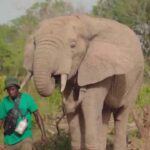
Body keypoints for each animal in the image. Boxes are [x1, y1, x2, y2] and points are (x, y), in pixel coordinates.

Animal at [21, 14, 144, 150]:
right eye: (34, 43)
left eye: (73, 45)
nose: (54, 76)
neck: (85, 24)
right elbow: (72, 108)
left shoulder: (100, 69)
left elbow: (88, 105)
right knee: (104, 112)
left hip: (136, 80)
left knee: (121, 113)